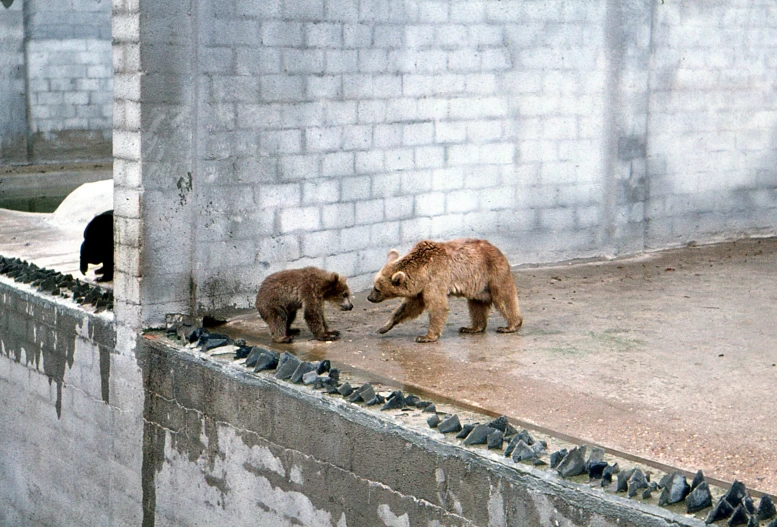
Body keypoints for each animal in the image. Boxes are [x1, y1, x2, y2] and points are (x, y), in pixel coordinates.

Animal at [368, 239, 524, 342]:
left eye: (377, 288)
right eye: (374, 285)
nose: (369, 298)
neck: (421, 271)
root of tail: (497, 248)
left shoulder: (435, 279)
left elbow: (437, 306)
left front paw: (425, 337)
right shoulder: (421, 288)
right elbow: (409, 306)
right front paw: (384, 327)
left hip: (493, 273)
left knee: (503, 297)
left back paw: (510, 326)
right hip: (477, 287)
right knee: (476, 305)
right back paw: (472, 328)